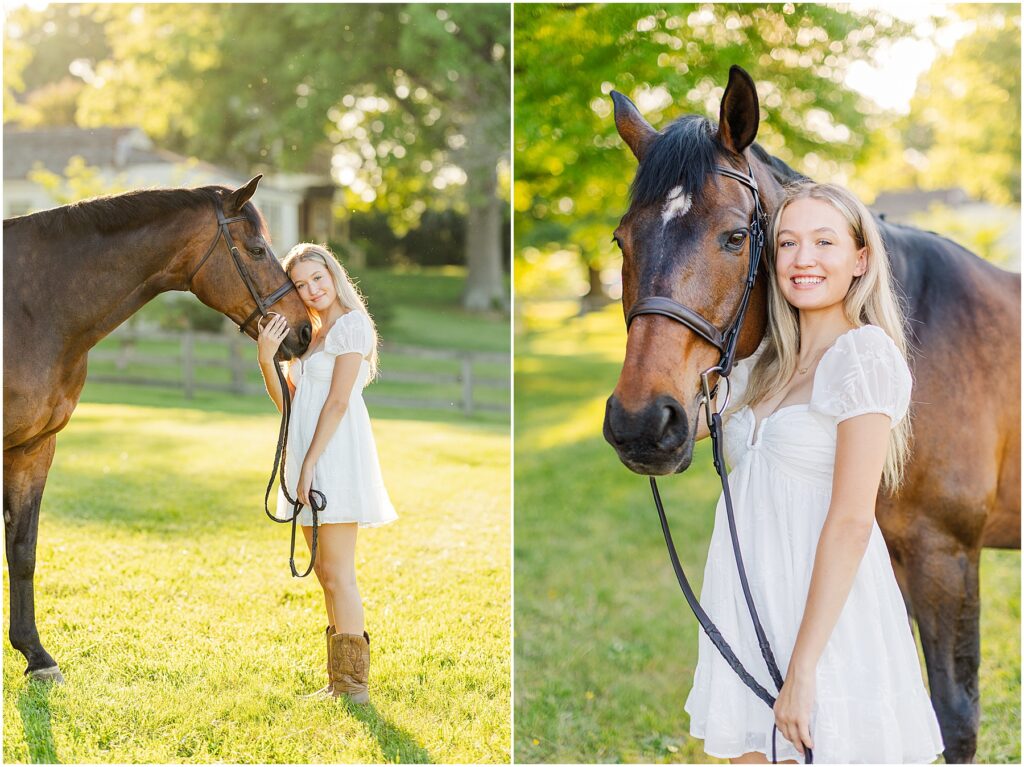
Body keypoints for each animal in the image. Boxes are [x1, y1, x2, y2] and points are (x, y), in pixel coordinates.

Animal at [3, 178, 311, 684]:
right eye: (257, 249)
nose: (304, 332)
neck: (32, 307)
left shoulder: (34, 448)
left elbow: (22, 549)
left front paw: (36, 656)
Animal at [602, 66, 1019, 761]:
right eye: (621, 239)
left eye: (735, 237)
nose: (642, 424)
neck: (915, 343)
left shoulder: (946, 554)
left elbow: (953, 719)